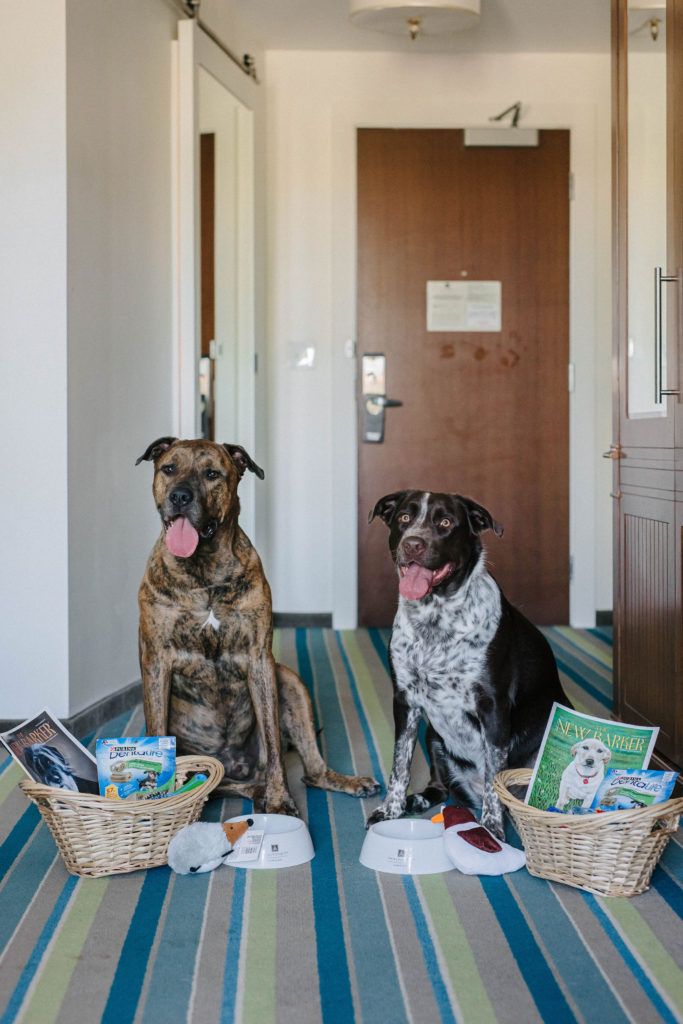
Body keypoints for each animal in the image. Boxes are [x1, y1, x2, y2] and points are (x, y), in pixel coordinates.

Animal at [135, 438, 378, 815]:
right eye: (168, 469)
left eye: (212, 474)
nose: (180, 496)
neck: (203, 568)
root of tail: (234, 762)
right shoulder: (157, 662)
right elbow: (157, 728)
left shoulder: (259, 660)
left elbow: (274, 741)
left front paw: (280, 800)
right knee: (220, 785)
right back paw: (257, 790)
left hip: (289, 681)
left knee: (309, 772)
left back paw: (337, 783)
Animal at [368, 489, 573, 839]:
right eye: (405, 518)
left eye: (446, 523)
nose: (412, 544)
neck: (434, 619)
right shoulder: (405, 701)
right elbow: (399, 763)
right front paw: (390, 810)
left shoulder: (493, 707)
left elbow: (494, 778)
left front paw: (491, 830)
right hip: (433, 735)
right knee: (441, 789)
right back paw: (416, 800)